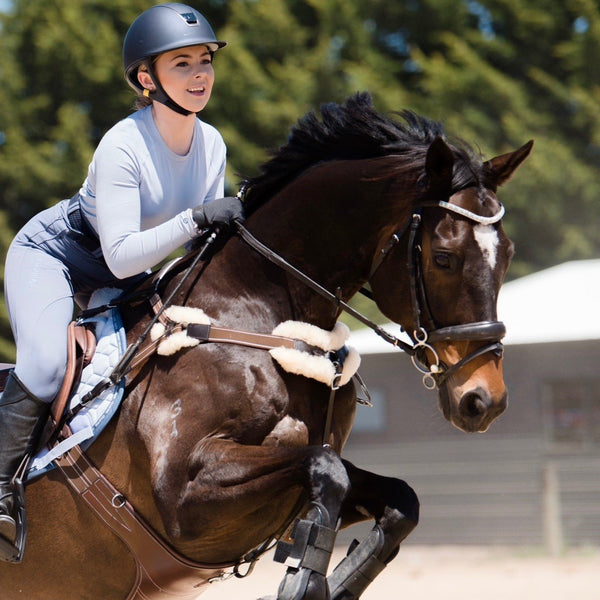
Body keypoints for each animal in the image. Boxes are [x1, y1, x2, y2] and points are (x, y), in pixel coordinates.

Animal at [2, 94, 532, 600]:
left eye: (507, 254)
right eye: (443, 257)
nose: (484, 400)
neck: (260, 319)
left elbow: (400, 500)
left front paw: (332, 583)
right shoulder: (183, 495)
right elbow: (326, 472)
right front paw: (305, 584)